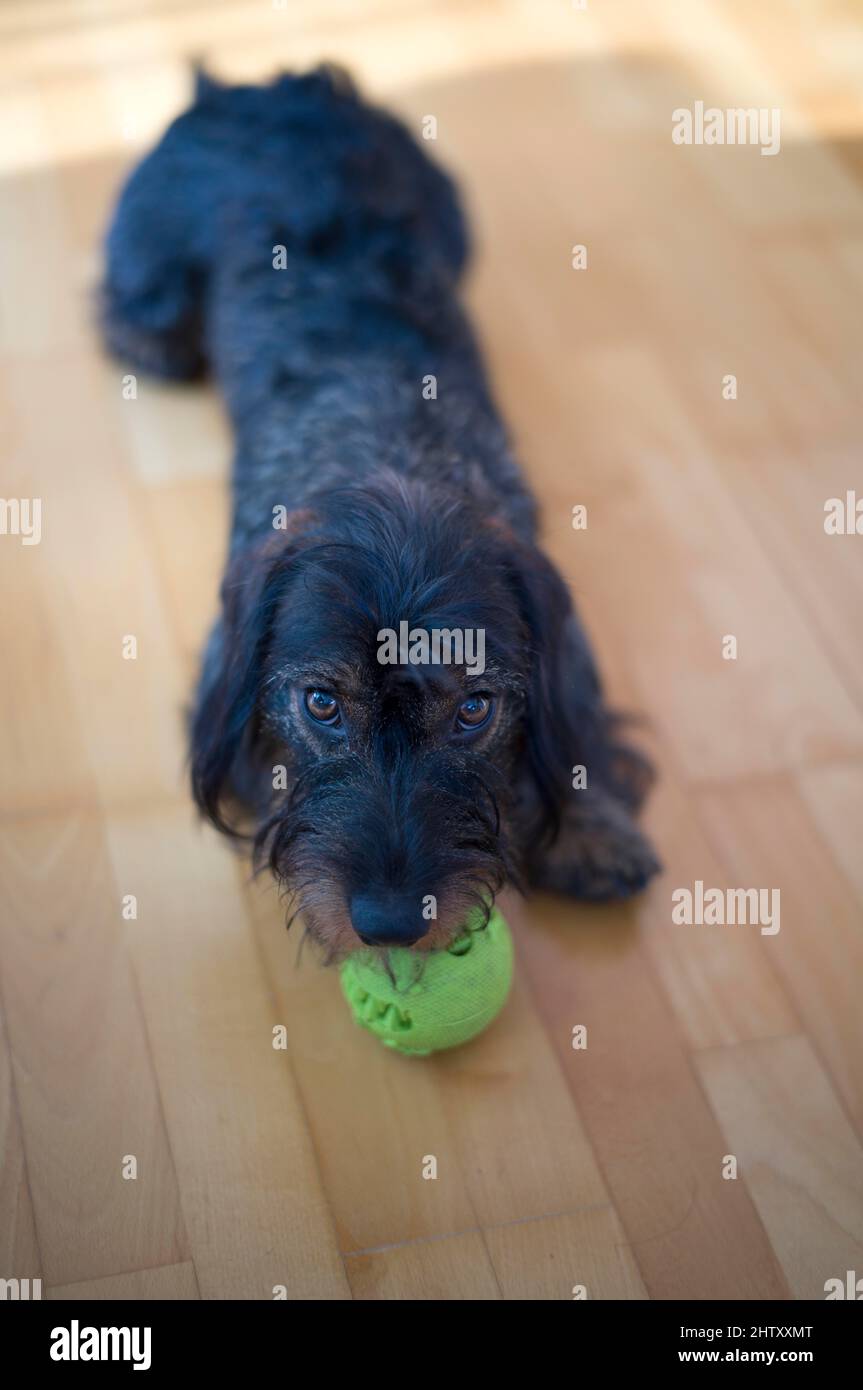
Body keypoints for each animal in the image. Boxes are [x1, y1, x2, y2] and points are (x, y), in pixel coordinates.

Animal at [100, 65, 655, 956]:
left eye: (473, 710)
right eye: (322, 705)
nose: (390, 924)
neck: (391, 448)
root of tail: (268, 86)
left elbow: (576, 722)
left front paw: (589, 826)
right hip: (153, 267)